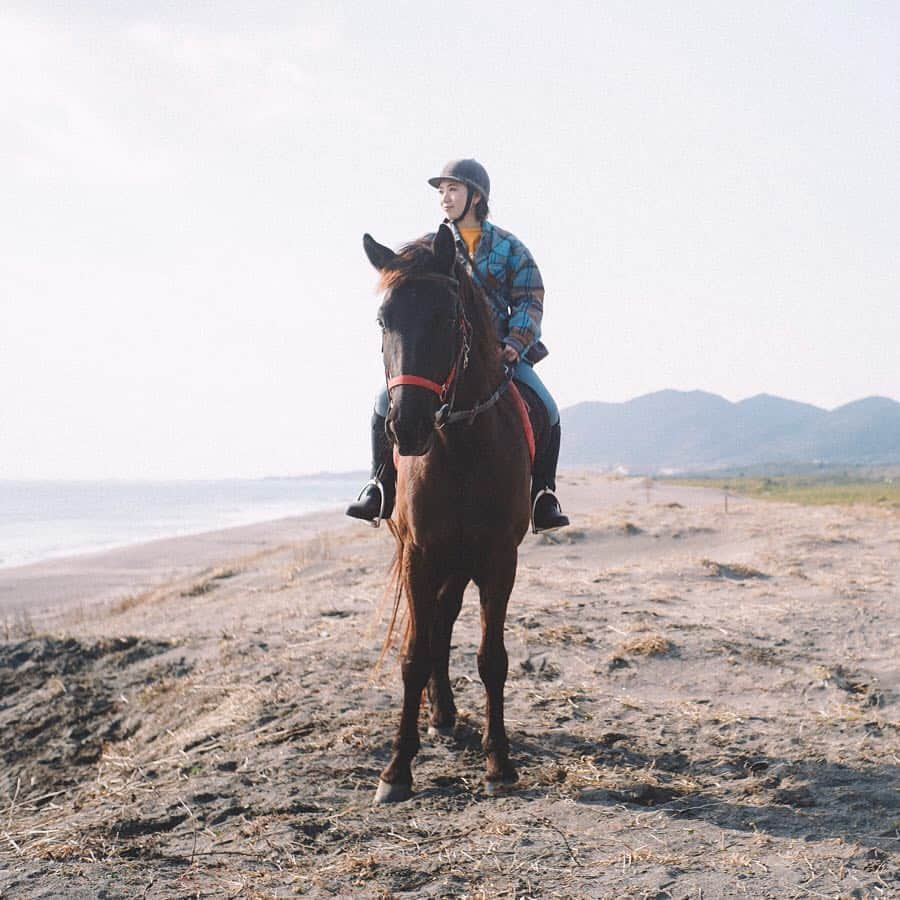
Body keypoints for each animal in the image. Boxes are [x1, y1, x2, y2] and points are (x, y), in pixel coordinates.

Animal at [364, 225, 536, 800]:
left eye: (447, 316)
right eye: (383, 320)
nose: (407, 427)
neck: (461, 447)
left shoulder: (499, 560)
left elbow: (491, 659)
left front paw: (498, 760)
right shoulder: (419, 555)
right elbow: (414, 656)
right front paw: (397, 769)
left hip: (461, 565)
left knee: (444, 620)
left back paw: (445, 715)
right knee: (435, 626)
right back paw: (439, 717)